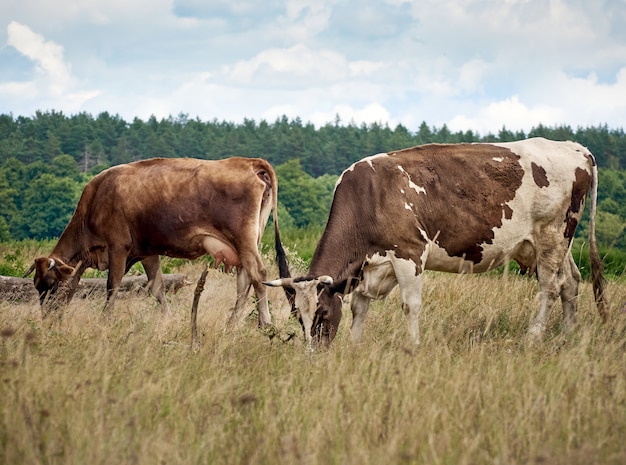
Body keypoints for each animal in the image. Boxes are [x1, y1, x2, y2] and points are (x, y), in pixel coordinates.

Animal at [25, 158, 292, 328]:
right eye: (36, 286)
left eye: (49, 284)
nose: (46, 319)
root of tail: (248, 162)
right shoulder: (147, 252)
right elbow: (157, 287)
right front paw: (169, 318)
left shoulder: (118, 247)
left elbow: (112, 286)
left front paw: (105, 320)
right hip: (245, 243)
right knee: (245, 281)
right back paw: (233, 323)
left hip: (243, 240)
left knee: (258, 274)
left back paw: (265, 323)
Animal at [266, 138, 608, 348]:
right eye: (297, 317)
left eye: (323, 313)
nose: (314, 356)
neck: (368, 197)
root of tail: (574, 147)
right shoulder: (370, 267)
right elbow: (360, 308)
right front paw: (355, 345)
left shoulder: (409, 254)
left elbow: (410, 305)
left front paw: (413, 346)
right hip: (552, 243)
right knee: (571, 281)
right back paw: (568, 335)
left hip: (552, 234)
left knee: (550, 287)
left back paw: (534, 336)